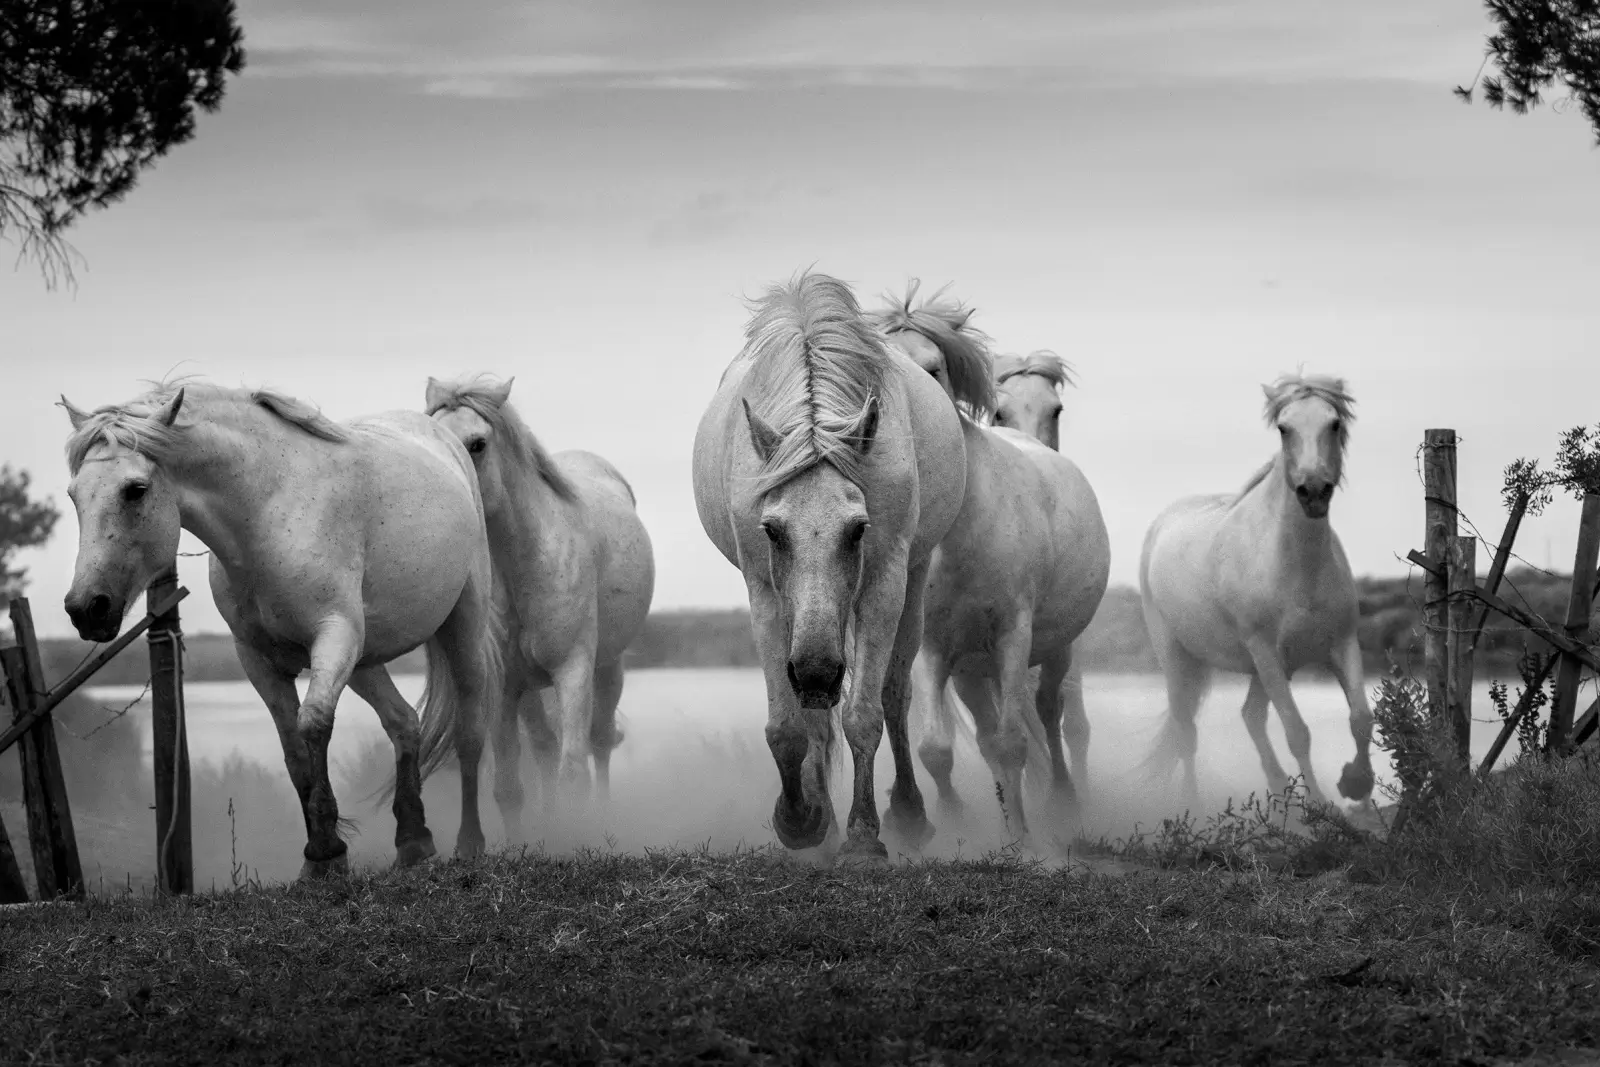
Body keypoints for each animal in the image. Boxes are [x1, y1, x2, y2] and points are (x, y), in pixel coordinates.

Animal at [59, 380, 504, 879]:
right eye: (74, 495)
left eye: (134, 490)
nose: (86, 609)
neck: (267, 511)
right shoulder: (258, 658)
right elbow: (293, 748)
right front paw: (317, 856)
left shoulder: (334, 635)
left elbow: (314, 725)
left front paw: (329, 849)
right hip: (364, 659)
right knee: (404, 722)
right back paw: (413, 841)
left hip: (460, 628)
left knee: (469, 730)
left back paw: (469, 842)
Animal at [423, 374, 655, 841]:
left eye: (477, 443)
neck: (524, 568)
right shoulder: (504, 686)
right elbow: (510, 787)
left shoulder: (573, 672)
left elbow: (574, 776)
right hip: (528, 687)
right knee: (545, 747)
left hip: (609, 668)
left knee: (600, 742)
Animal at [691, 271, 969, 861]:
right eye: (772, 530)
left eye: (858, 529)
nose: (817, 672)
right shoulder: (764, 591)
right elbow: (788, 725)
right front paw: (800, 821)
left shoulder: (884, 580)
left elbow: (865, 713)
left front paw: (864, 837)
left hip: (910, 587)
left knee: (893, 692)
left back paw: (907, 812)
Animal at [1139, 373, 1375, 807]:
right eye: (1284, 428)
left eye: (1334, 423)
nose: (1313, 490)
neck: (1297, 567)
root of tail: (1162, 522)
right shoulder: (1265, 652)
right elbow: (1297, 731)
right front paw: (1321, 807)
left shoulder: (1342, 644)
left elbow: (1361, 719)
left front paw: (1355, 782)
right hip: (1178, 658)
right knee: (1186, 732)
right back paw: (1194, 805)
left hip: (1265, 669)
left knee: (1250, 716)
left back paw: (1280, 789)